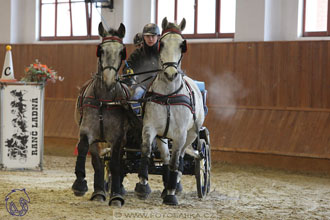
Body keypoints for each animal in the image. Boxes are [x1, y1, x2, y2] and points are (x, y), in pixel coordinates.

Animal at [72, 21, 141, 206]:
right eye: (101, 50)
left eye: (121, 51)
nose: (109, 79)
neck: (104, 100)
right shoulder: (87, 131)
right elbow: (88, 153)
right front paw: (82, 185)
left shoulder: (117, 137)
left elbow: (116, 164)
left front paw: (116, 196)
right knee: (101, 161)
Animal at [135, 17, 205, 206]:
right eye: (162, 43)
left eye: (182, 45)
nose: (171, 74)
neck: (168, 95)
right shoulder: (150, 128)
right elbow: (146, 152)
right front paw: (143, 186)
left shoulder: (180, 134)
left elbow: (175, 162)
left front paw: (172, 194)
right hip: (163, 136)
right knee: (166, 157)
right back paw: (166, 186)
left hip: (191, 135)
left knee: (179, 158)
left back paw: (174, 185)